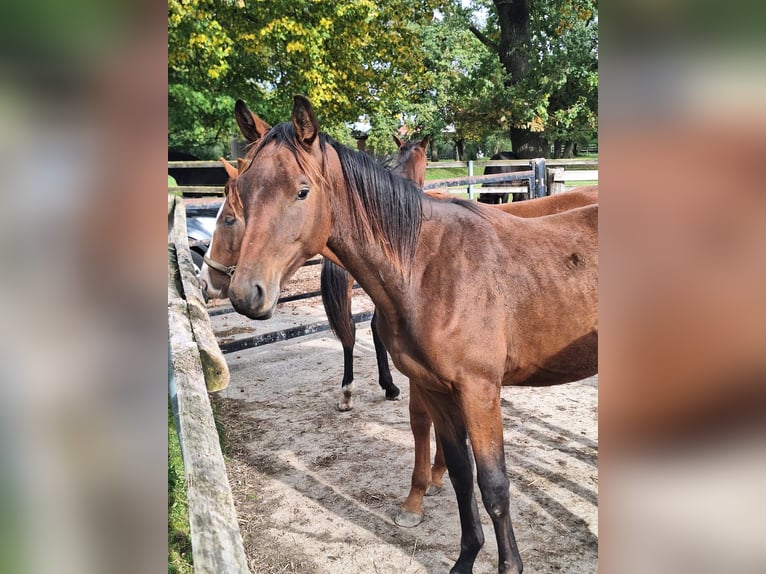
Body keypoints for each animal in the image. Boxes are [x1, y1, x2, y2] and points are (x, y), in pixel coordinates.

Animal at [228, 97, 600, 572]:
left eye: (302, 191)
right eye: (242, 189)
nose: (246, 294)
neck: (427, 267)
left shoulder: (480, 392)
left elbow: (494, 485)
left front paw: (508, 565)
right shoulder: (437, 389)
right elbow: (460, 475)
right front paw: (464, 556)